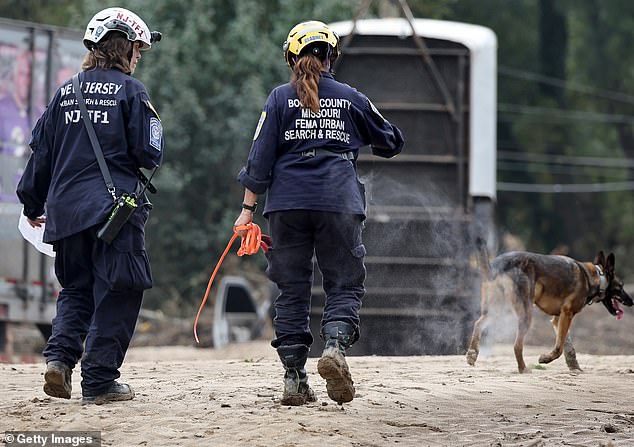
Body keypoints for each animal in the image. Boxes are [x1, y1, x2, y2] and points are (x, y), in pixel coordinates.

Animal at [464, 240, 632, 372]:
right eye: (621, 286)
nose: (632, 301)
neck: (596, 277)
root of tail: (499, 265)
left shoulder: (559, 319)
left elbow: (567, 345)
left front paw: (574, 367)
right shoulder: (567, 314)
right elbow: (559, 348)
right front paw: (546, 358)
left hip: (496, 310)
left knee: (478, 324)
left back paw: (472, 354)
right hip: (525, 314)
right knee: (517, 345)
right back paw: (523, 369)